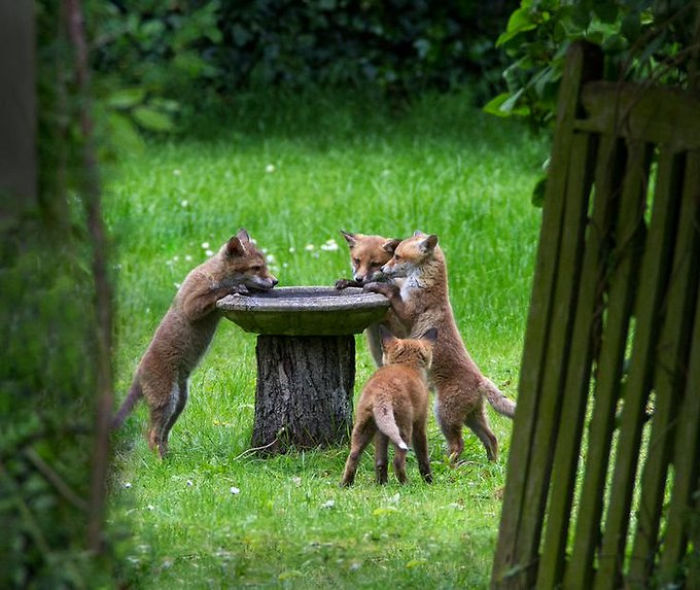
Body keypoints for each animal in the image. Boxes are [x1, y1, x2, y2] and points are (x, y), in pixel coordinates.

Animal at [112, 229, 278, 458]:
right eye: (256, 267)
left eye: (265, 266)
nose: (276, 281)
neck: (214, 275)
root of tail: (137, 374)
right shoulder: (192, 303)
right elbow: (216, 293)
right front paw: (234, 287)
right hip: (168, 400)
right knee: (152, 436)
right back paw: (161, 462)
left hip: (179, 403)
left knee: (162, 436)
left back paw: (169, 458)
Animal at [341, 327, 437, 487]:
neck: (407, 365)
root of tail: (382, 391)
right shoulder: (419, 424)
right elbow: (423, 458)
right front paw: (429, 480)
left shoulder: (381, 432)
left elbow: (380, 460)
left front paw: (382, 482)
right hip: (404, 430)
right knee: (397, 461)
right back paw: (406, 484)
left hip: (363, 428)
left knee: (354, 456)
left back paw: (347, 484)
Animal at [364, 231, 516, 464]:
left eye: (397, 257)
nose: (381, 270)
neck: (422, 283)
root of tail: (480, 379)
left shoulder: (407, 312)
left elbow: (392, 292)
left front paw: (377, 286)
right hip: (472, 418)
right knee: (491, 438)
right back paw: (491, 464)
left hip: (444, 414)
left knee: (459, 444)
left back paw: (446, 464)